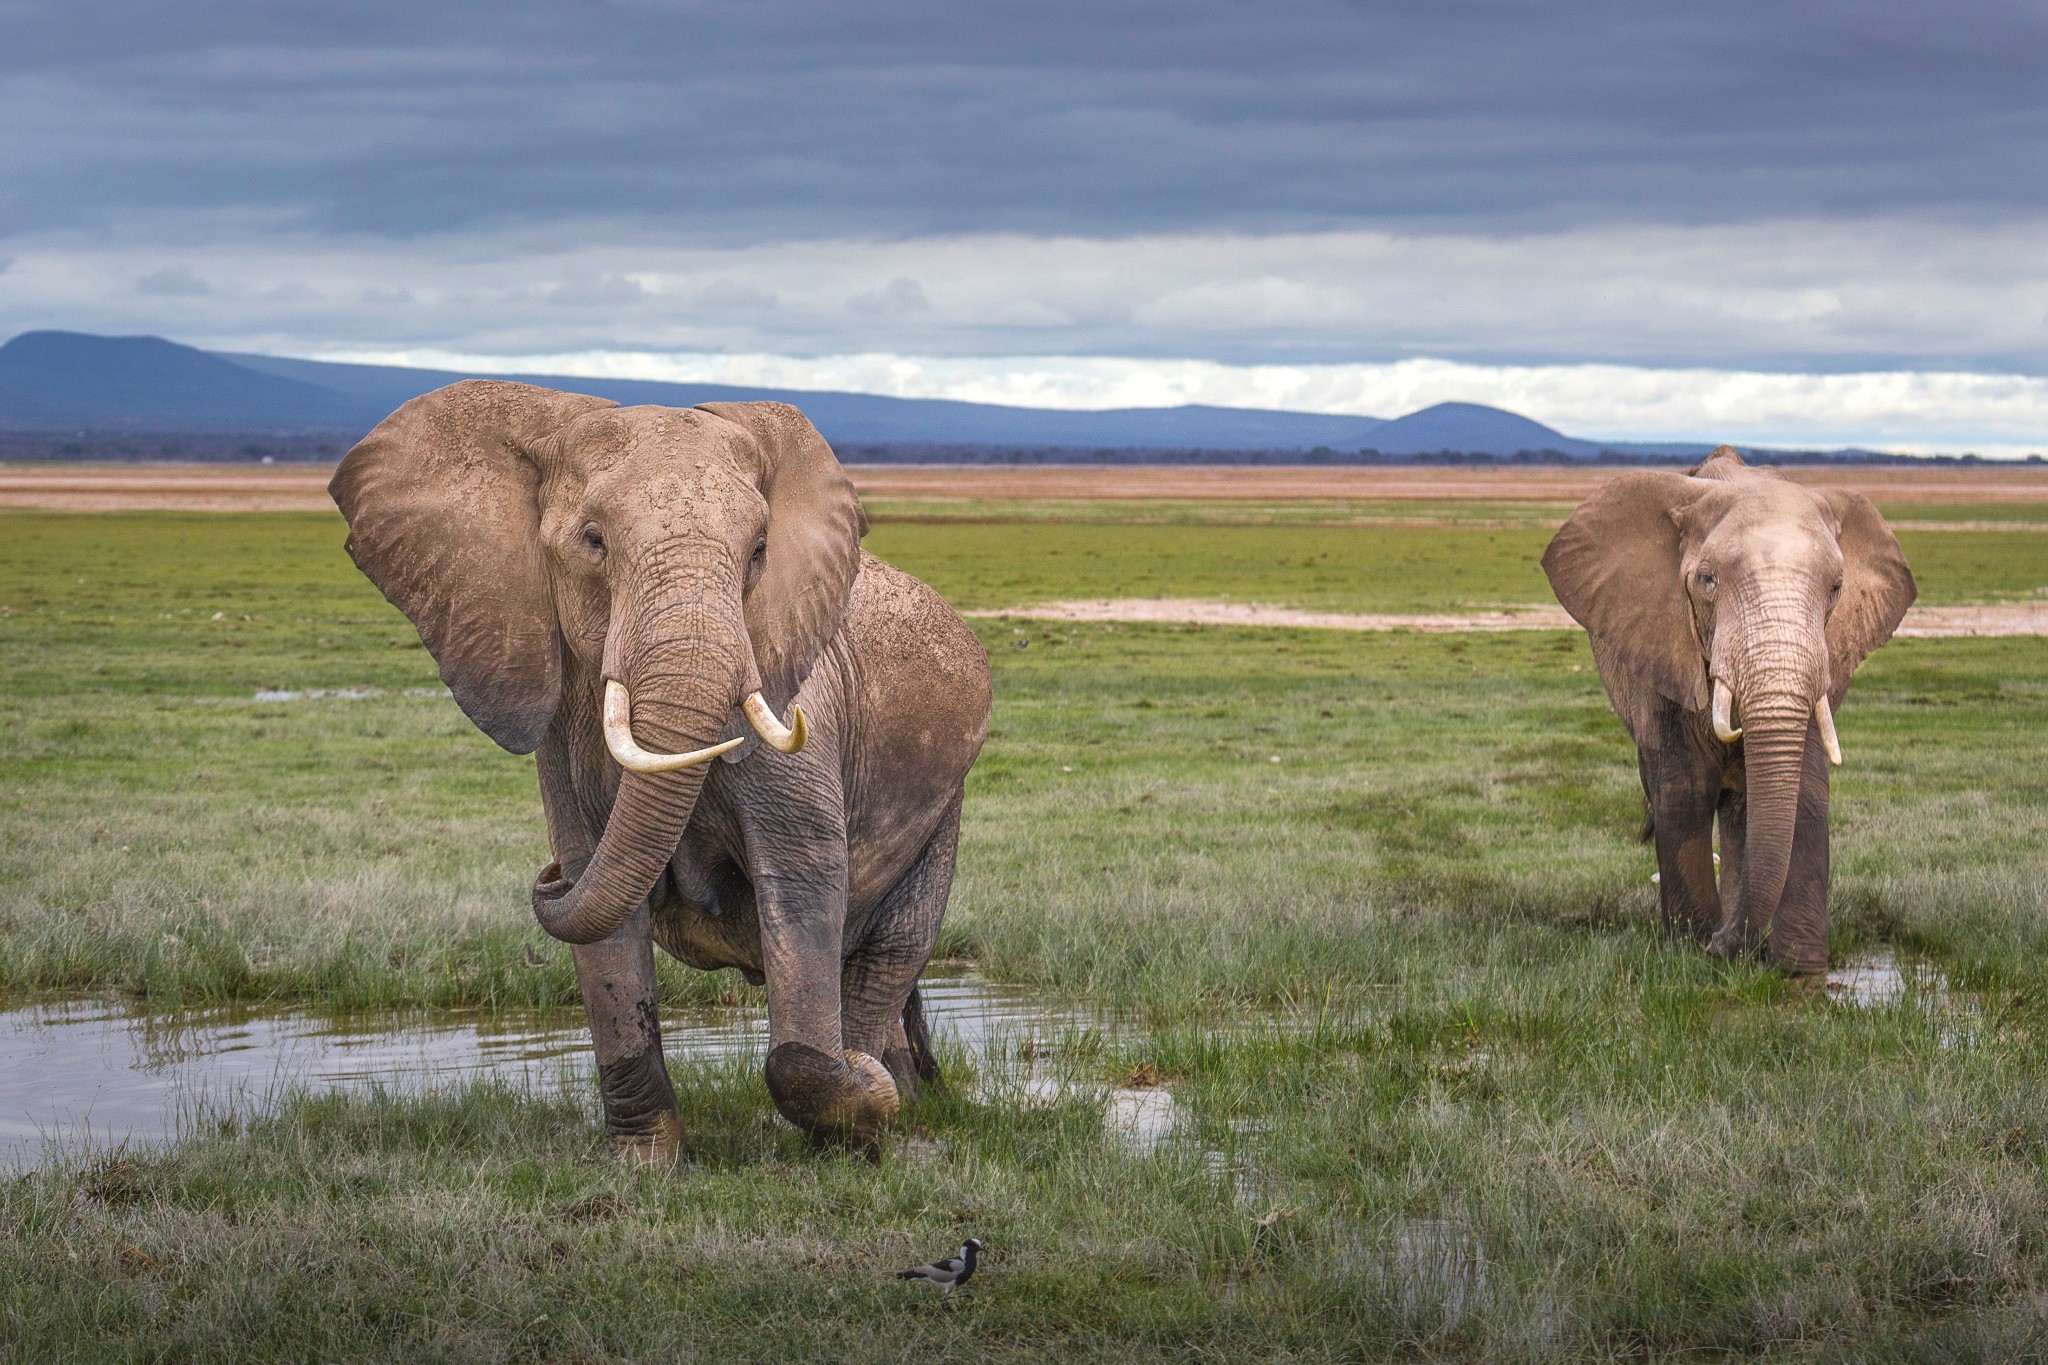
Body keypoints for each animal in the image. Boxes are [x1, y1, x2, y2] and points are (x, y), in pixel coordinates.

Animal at [331, 382, 995, 1154]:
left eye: (759, 550)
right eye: (593, 541)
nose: (546, 878)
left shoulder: (804, 702)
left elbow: (804, 879)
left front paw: (860, 1094)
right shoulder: (564, 727)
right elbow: (602, 900)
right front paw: (643, 1163)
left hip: (945, 796)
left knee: (892, 946)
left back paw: (879, 1096)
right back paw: (901, 1093)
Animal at [1540, 454, 1908, 978]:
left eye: (1837, 588)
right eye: (1706, 581)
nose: (1721, 944)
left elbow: (1802, 792)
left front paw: (1799, 973)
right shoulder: (1663, 644)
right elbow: (1686, 789)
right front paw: (1692, 954)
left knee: (1739, 811)